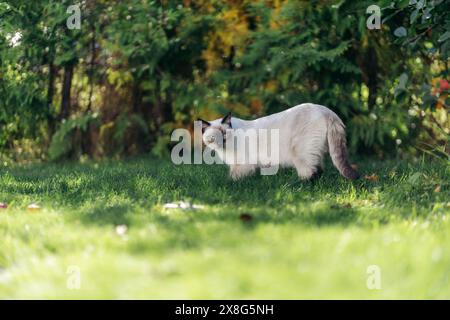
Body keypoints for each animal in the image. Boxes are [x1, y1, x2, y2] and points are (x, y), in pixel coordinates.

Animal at [199, 104, 360, 181]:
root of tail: (326, 110)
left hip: (300, 152)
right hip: (314, 151)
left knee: (310, 172)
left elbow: (233, 178)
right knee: (319, 169)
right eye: (213, 138)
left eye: (224, 133)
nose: (222, 141)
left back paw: (299, 186)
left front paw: (231, 184)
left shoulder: (241, 164)